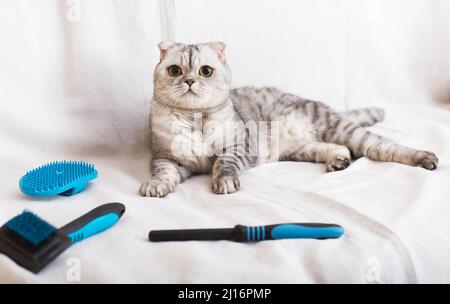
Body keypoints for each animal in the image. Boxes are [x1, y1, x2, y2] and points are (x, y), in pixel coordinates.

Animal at [140, 41, 436, 197]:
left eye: (206, 71)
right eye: (174, 70)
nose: (189, 81)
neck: (195, 119)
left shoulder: (238, 147)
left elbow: (223, 164)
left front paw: (224, 182)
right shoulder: (167, 157)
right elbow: (163, 172)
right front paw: (156, 186)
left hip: (339, 128)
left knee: (383, 146)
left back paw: (425, 158)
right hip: (302, 149)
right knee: (337, 148)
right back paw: (338, 161)